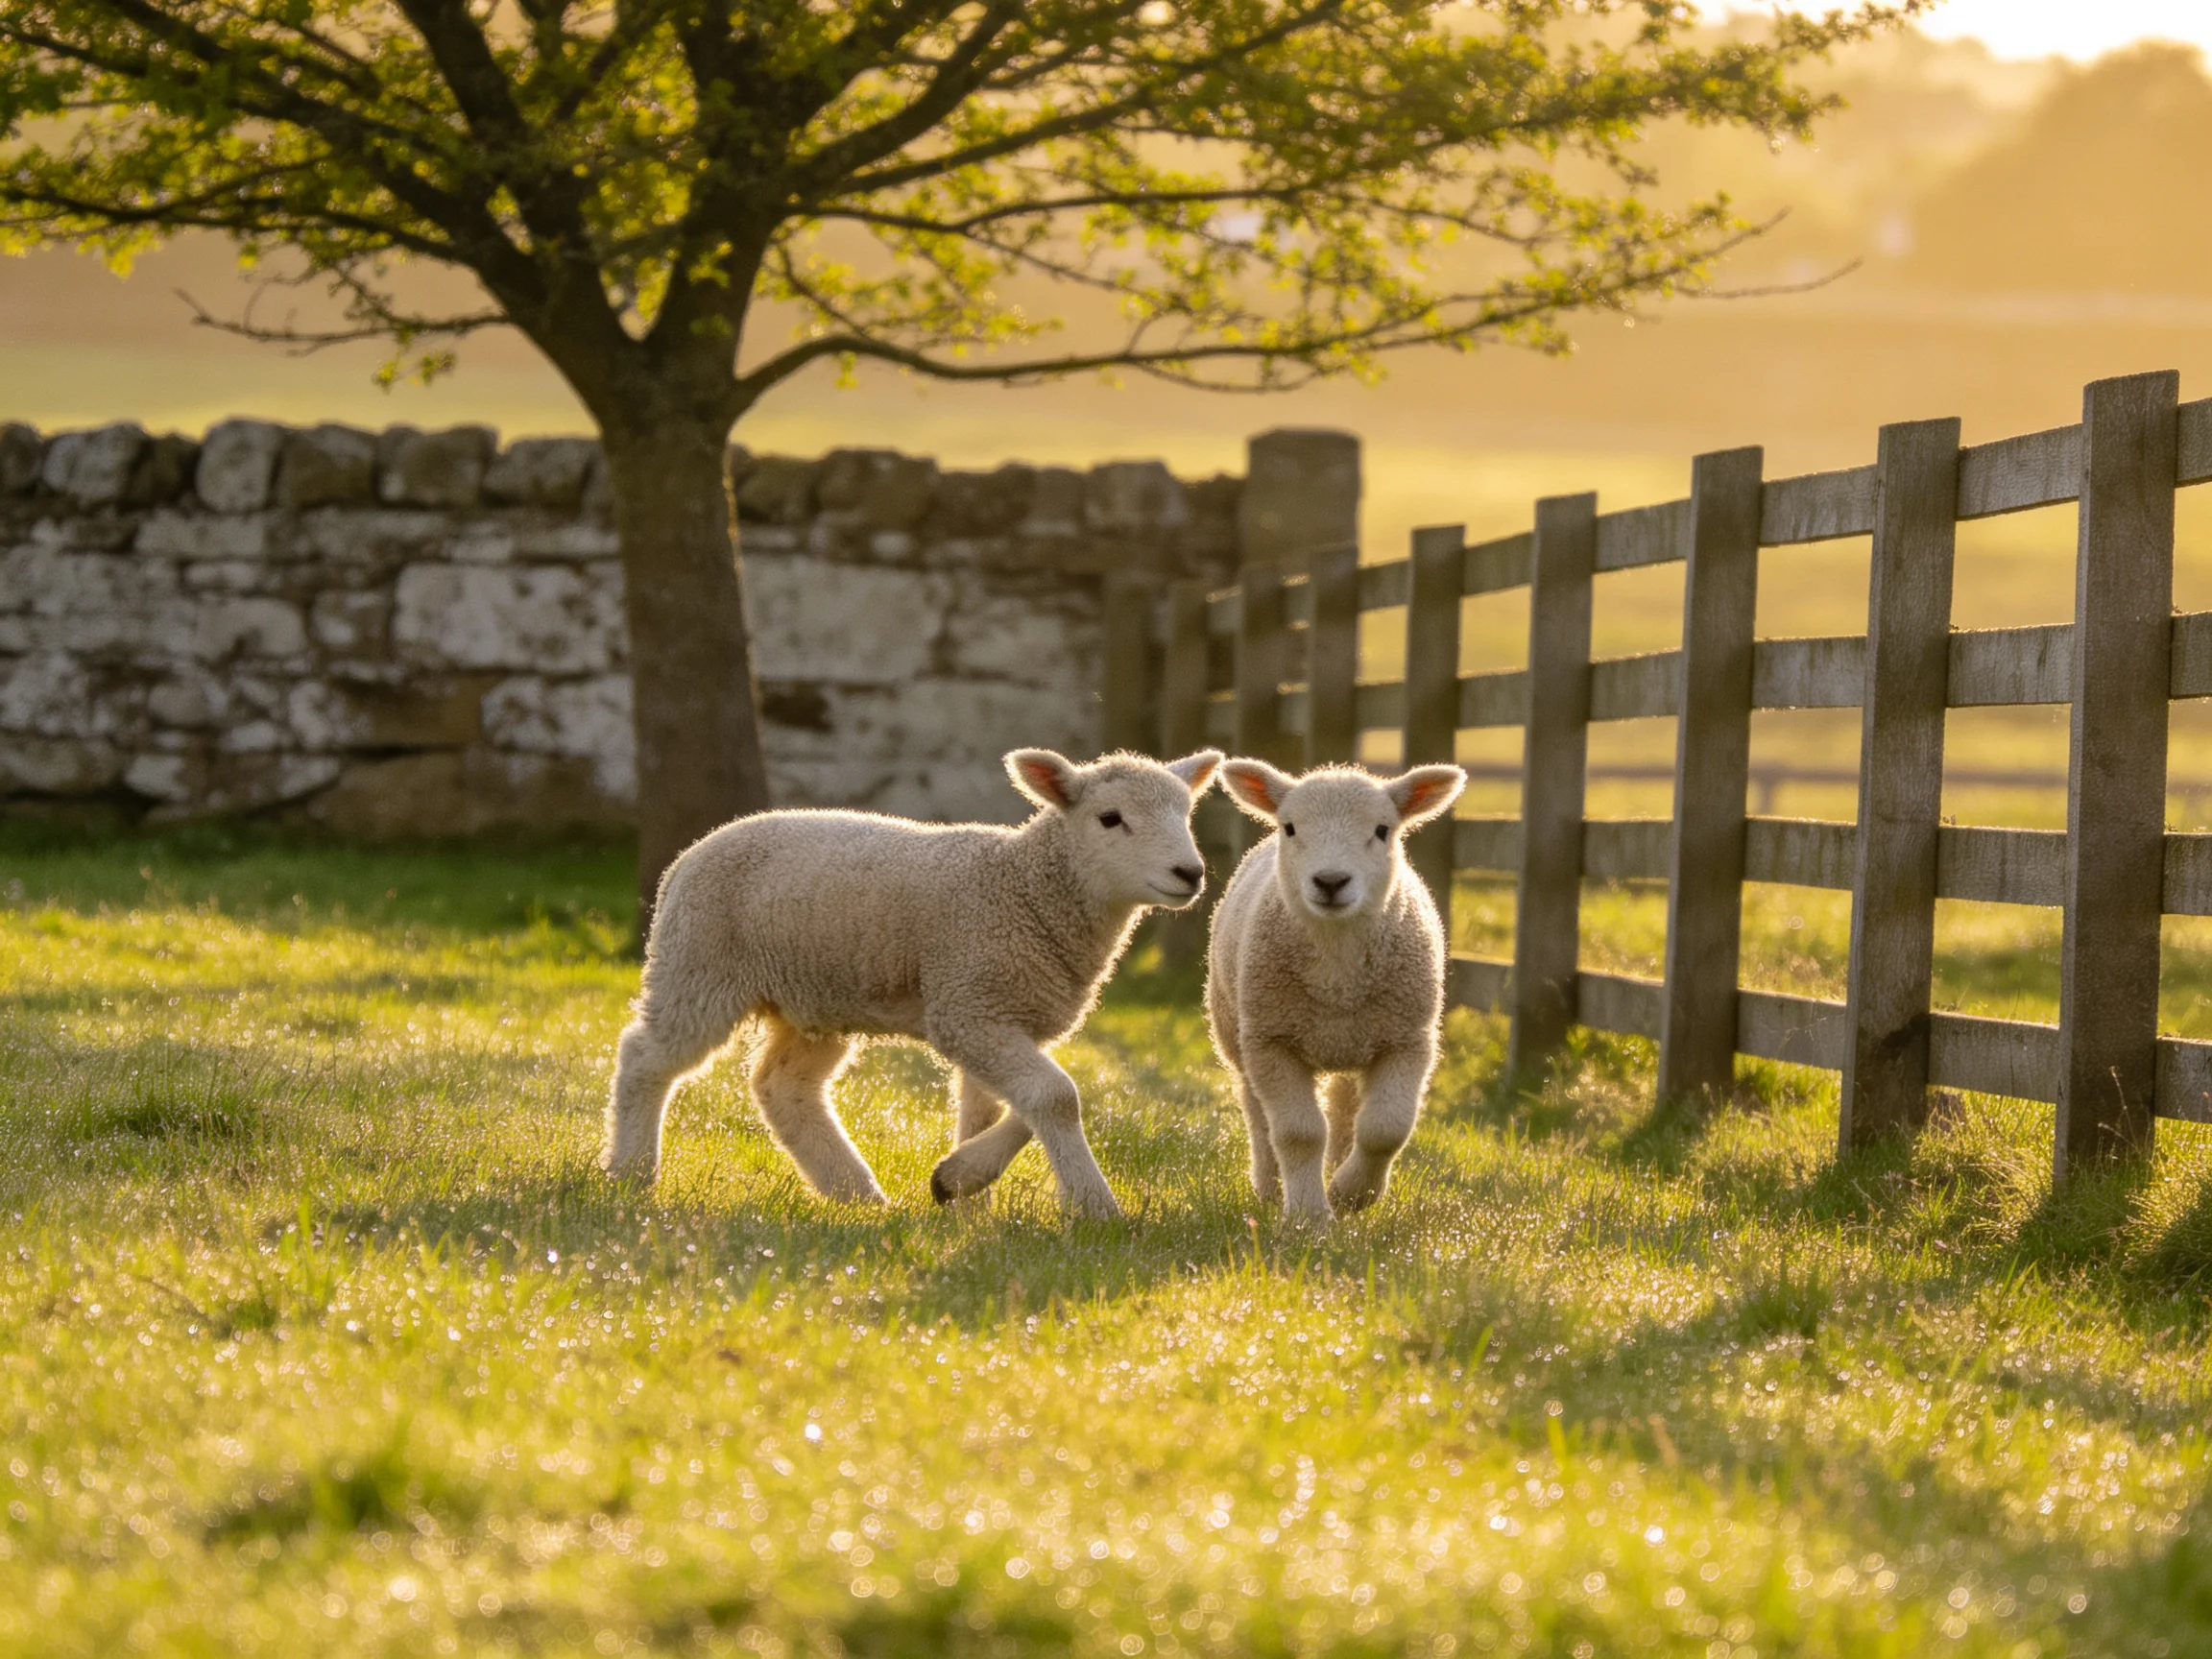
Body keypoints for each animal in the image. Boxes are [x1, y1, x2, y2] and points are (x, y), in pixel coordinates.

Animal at [602, 747, 1224, 1218]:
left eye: (1187, 813)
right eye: (1110, 818)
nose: (1190, 873)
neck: (1027, 889)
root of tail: (687, 857)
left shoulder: (998, 1011)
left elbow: (1006, 1109)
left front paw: (964, 1192)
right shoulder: (969, 1007)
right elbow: (1056, 1096)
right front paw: (1096, 1207)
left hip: (815, 997)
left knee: (784, 1087)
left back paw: (856, 1194)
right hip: (700, 968)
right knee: (646, 1059)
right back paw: (631, 1174)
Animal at [1206, 758, 1467, 1223]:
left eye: (1382, 829)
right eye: (1291, 827)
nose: (1330, 881)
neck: (1337, 976)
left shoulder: (1408, 1041)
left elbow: (1385, 1128)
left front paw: (1351, 1194)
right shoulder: (1272, 1041)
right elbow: (1299, 1133)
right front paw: (1308, 1215)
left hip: (1356, 1040)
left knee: (1346, 1110)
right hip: (1238, 1032)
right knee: (1258, 1113)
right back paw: (1270, 1188)